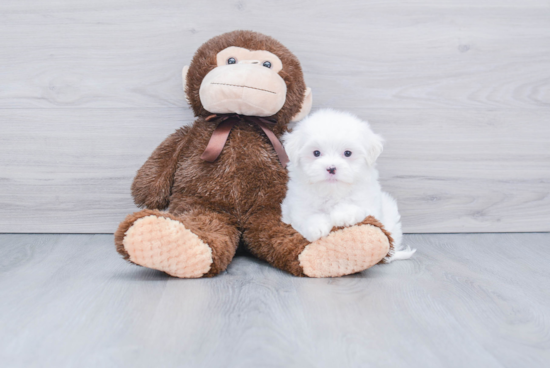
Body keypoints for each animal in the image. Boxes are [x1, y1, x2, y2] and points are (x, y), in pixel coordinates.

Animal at [282, 109, 416, 262]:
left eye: (347, 153)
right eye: (316, 153)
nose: (331, 168)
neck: (333, 192)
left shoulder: (368, 203)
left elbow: (355, 207)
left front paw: (343, 215)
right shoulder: (298, 205)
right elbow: (307, 217)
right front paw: (316, 227)